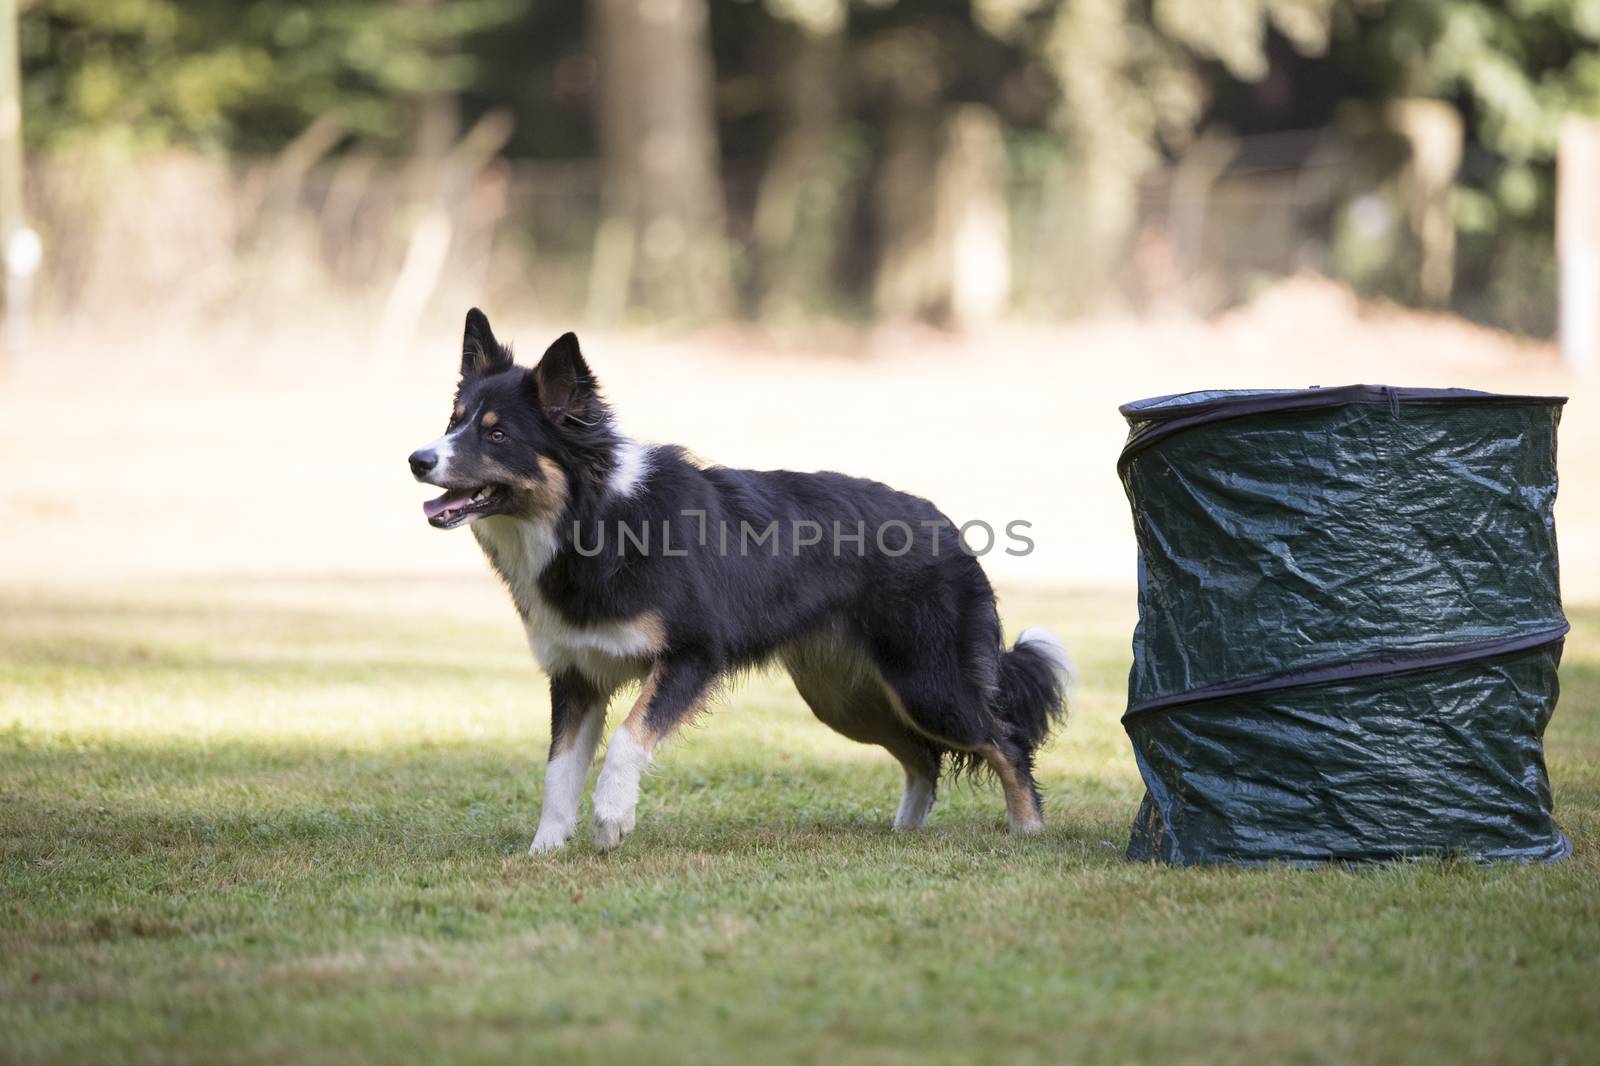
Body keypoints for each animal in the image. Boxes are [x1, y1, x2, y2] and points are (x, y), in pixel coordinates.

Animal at [406, 305, 1068, 845]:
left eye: (497, 434)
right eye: (453, 419)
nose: (417, 460)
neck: (594, 517)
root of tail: (947, 526)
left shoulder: (693, 654)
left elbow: (626, 740)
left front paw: (612, 819)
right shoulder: (577, 673)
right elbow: (558, 771)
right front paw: (545, 850)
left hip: (929, 686)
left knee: (1004, 740)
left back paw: (1028, 830)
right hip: (845, 697)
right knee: (922, 759)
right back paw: (906, 832)